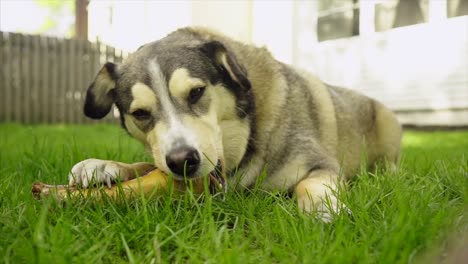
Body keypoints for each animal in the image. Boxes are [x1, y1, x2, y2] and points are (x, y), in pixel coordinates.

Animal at [69, 27, 402, 221]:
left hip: (389, 125)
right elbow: (145, 167)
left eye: (196, 92)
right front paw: (101, 166)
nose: (182, 161)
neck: (248, 137)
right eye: (140, 113)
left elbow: (309, 182)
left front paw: (322, 208)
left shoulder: (321, 164)